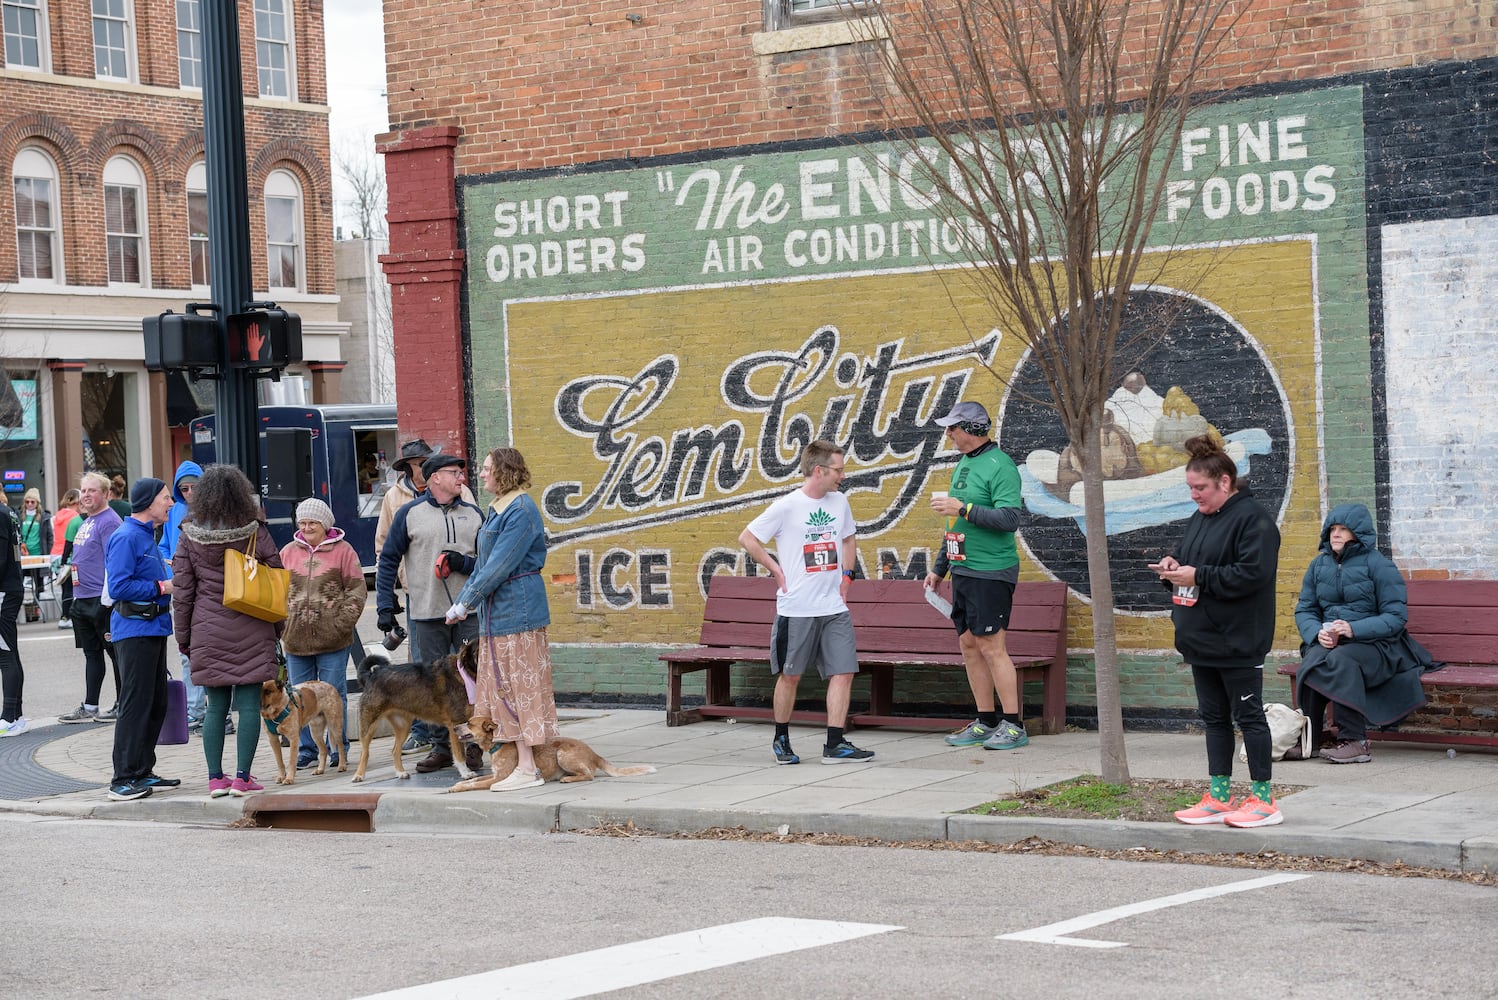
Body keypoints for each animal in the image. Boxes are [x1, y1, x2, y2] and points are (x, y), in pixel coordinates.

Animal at [349, 643, 473, 784]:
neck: (462, 673)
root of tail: (371, 675)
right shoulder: (455, 724)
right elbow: (459, 754)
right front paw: (465, 773)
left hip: (403, 727)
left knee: (395, 750)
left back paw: (400, 773)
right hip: (369, 725)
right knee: (364, 752)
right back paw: (359, 775)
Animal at [443, 715, 656, 790]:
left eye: (470, 723)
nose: (454, 727)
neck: (498, 744)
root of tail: (594, 754)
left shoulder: (498, 779)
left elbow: (475, 784)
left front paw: (456, 788)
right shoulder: (494, 775)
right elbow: (475, 779)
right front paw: (461, 782)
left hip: (563, 754)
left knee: (588, 775)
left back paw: (568, 779)